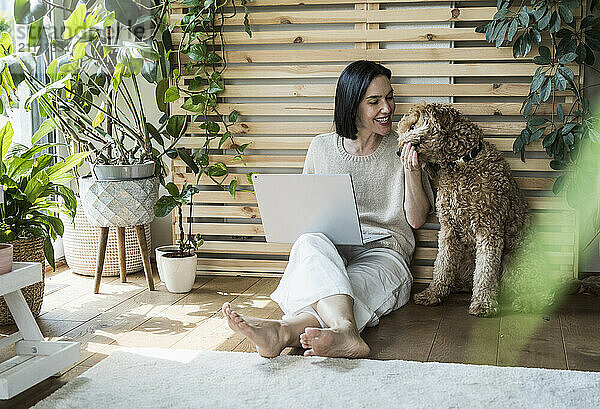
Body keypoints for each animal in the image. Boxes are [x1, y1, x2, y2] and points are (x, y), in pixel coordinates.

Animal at [398, 103, 528, 316]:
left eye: (412, 127)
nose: (399, 151)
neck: (462, 163)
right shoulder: (448, 229)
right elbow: (442, 264)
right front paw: (433, 294)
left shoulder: (489, 229)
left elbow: (486, 270)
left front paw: (483, 304)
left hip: (516, 257)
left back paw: (526, 301)